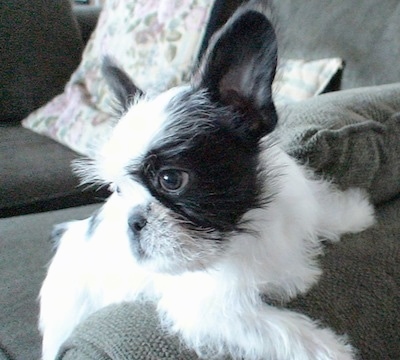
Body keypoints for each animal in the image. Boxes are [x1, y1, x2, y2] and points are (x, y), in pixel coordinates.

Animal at [39, 7, 374, 360]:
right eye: (118, 190)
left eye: (171, 179)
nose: (132, 221)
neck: (245, 226)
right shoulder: (215, 311)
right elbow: (280, 330)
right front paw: (329, 350)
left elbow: (320, 209)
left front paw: (353, 212)